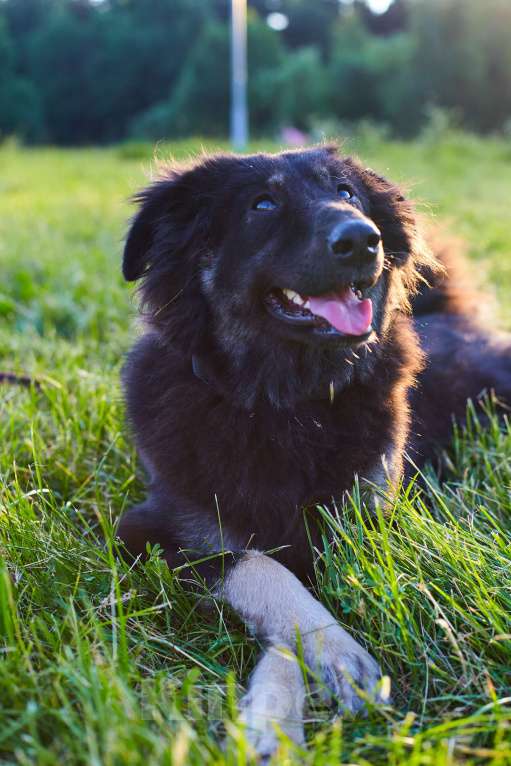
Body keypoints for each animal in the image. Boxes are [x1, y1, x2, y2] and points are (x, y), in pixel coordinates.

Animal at [118, 146, 511, 756]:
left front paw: (287, 702)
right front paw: (316, 671)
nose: (364, 239)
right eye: (262, 204)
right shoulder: (152, 530)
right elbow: (263, 569)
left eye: (347, 193)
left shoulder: (361, 523)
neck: (285, 404)